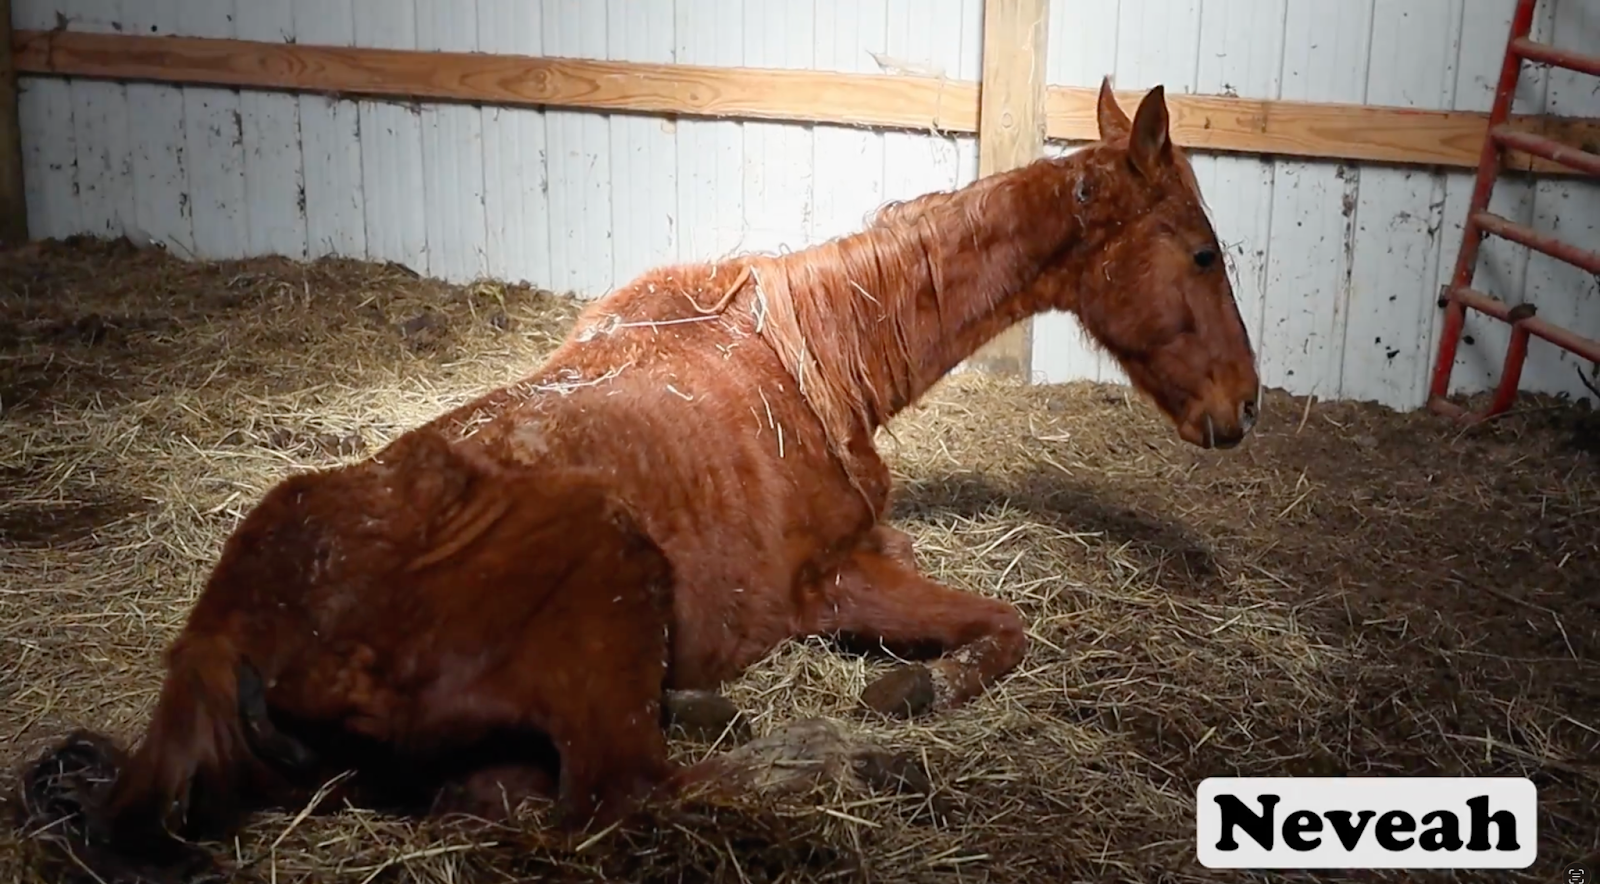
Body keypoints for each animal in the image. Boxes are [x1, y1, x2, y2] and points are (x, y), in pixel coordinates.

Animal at [13, 78, 1258, 881]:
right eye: (1202, 252)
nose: (1240, 408)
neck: (808, 357)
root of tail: (237, 629)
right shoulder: (836, 580)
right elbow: (1002, 628)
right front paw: (901, 696)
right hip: (612, 574)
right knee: (622, 795)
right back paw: (815, 752)